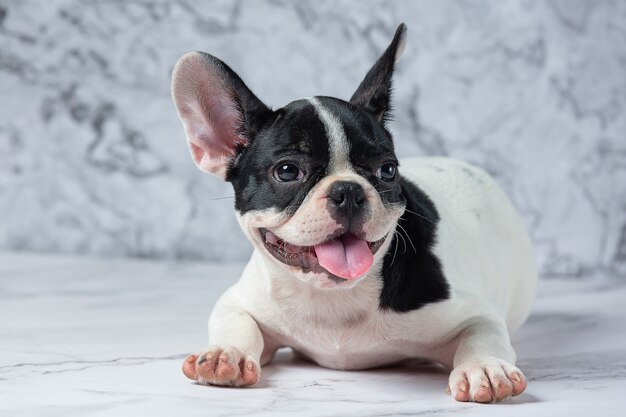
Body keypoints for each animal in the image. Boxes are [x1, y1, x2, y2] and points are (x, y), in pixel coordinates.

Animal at [172, 23, 536, 404]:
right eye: (287, 171)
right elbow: (235, 322)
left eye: (387, 170)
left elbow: (482, 334)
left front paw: (486, 368)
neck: (332, 297)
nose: (347, 191)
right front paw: (225, 353)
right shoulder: (241, 301)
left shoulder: (474, 313)